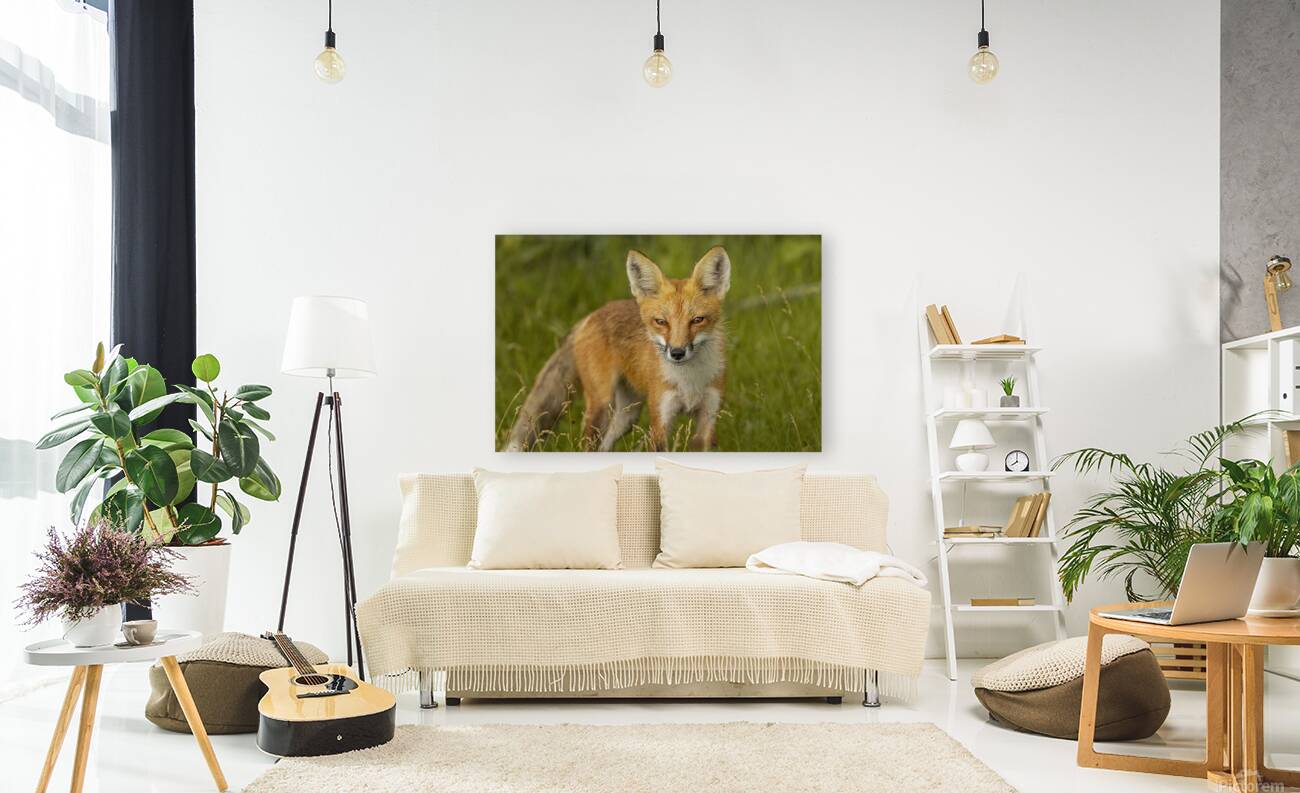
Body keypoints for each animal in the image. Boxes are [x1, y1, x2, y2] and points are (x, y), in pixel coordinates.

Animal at [506, 246, 731, 452]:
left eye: (697, 320)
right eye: (661, 322)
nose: (677, 353)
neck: (689, 382)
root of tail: (590, 316)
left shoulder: (708, 419)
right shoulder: (660, 421)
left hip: (627, 416)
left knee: (606, 446)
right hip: (601, 407)